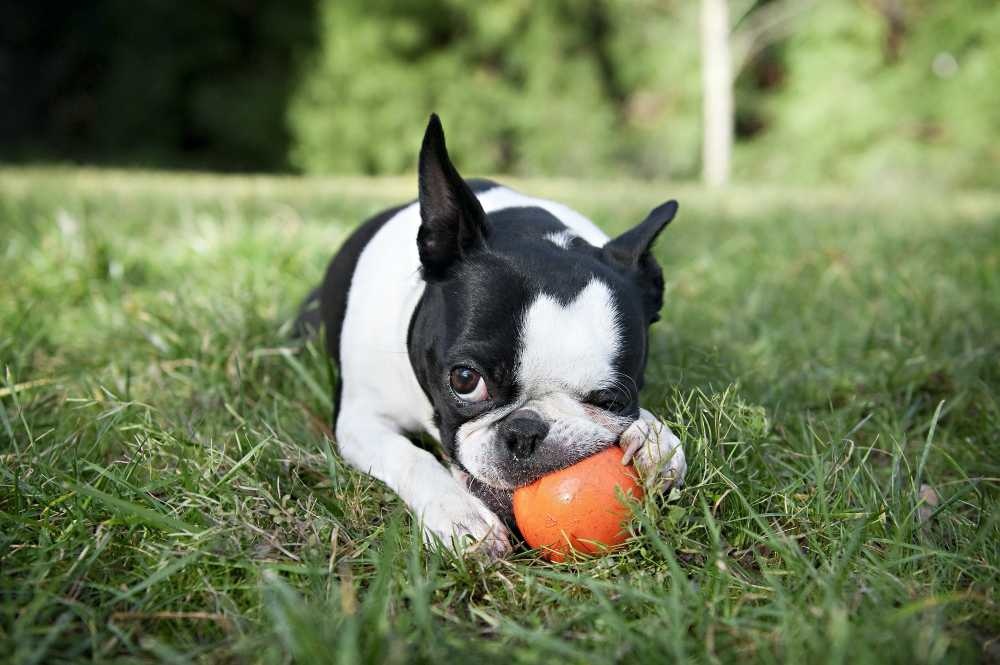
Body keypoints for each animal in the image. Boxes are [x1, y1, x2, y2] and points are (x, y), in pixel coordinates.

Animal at [296, 115, 688, 556]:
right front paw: (458, 515)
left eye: (612, 400)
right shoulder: (361, 420)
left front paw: (655, 438)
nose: (526, 432)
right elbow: (410, 457)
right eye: (465, 380)